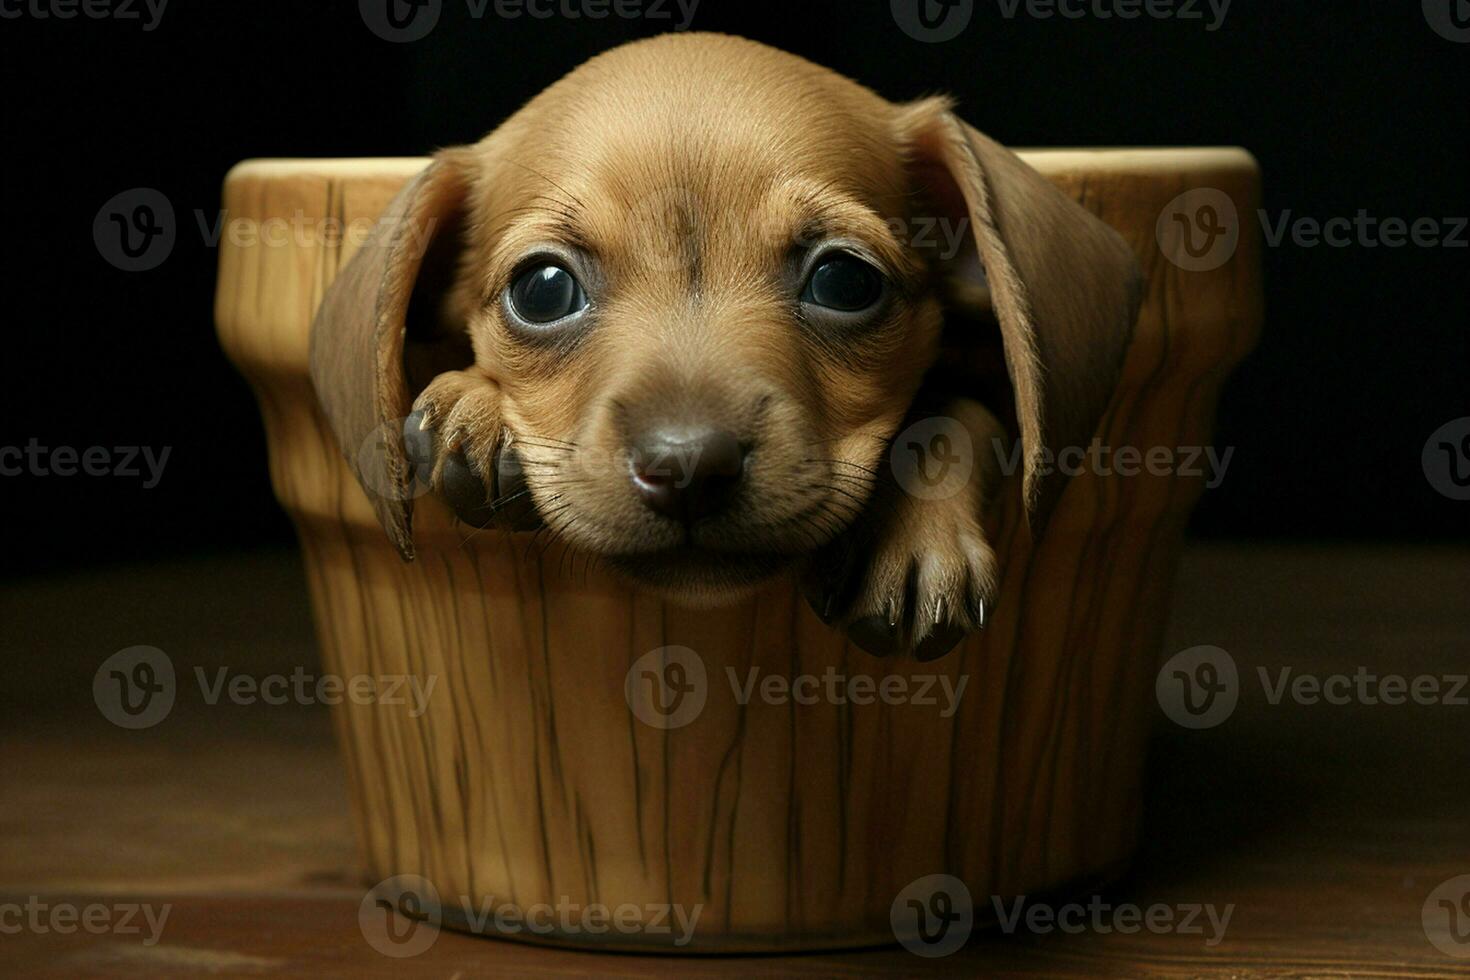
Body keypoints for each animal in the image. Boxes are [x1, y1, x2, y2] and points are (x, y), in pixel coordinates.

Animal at [307, 32, 1134, 658]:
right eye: (541, 290)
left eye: (844, 282)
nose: (688, 469)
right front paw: (474, 406)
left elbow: (957, 408)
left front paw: (913, 536)